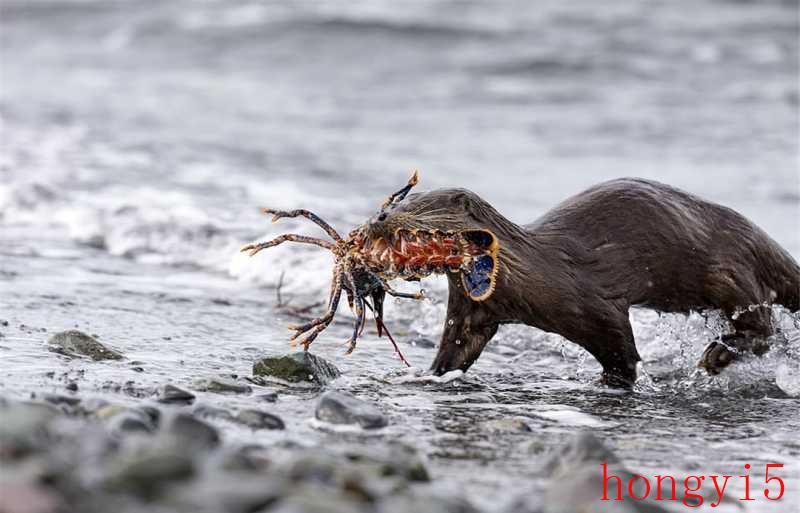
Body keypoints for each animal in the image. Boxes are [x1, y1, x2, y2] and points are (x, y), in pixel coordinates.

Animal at [364, 176, 800, 384]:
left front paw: (616, 381)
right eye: (395, 202)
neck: (527, 270)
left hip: (728, 272)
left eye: (418, 206)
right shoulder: (472, 309)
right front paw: (428, 376)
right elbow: (456, 349)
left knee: (765, 327)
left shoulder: (593, 304)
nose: (379, 217)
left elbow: (621, 347)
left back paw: (717, 355)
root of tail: (759, 239)